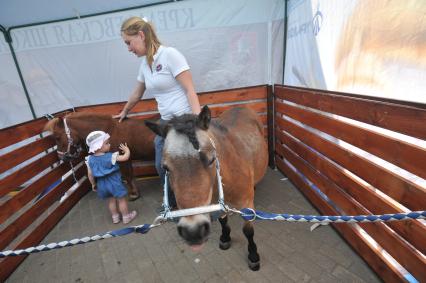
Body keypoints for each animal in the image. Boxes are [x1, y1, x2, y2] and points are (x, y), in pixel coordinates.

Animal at [145, 106, 268, 270]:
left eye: (211, 160)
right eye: (166, 167)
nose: (192, 231)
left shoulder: (246, 204)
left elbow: (248, 231)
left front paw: (253, 256)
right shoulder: (215, 203)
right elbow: (223, 220)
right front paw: (225, 238)